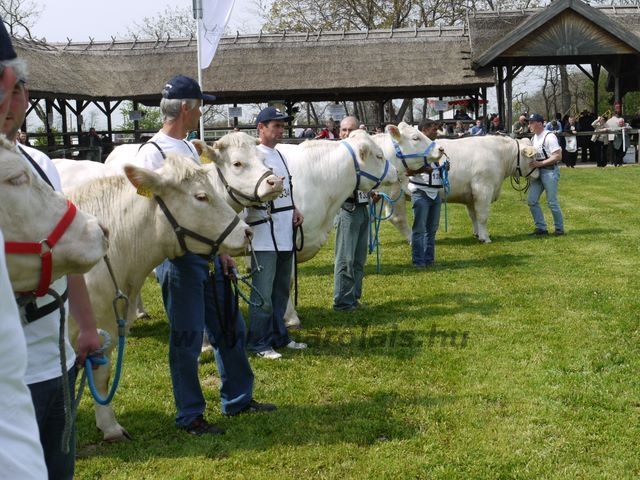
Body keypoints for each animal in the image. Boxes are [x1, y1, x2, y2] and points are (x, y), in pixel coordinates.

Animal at [388, 135, 536, 244]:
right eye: (535, 157)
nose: (538, 173)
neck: (499, 155)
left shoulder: (471, 195)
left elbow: (473, 215)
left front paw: (478, 234)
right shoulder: (483, 189)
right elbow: (482, 216)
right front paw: (485, 238)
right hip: (395, 193)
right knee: (398, 218)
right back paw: (411, 239)